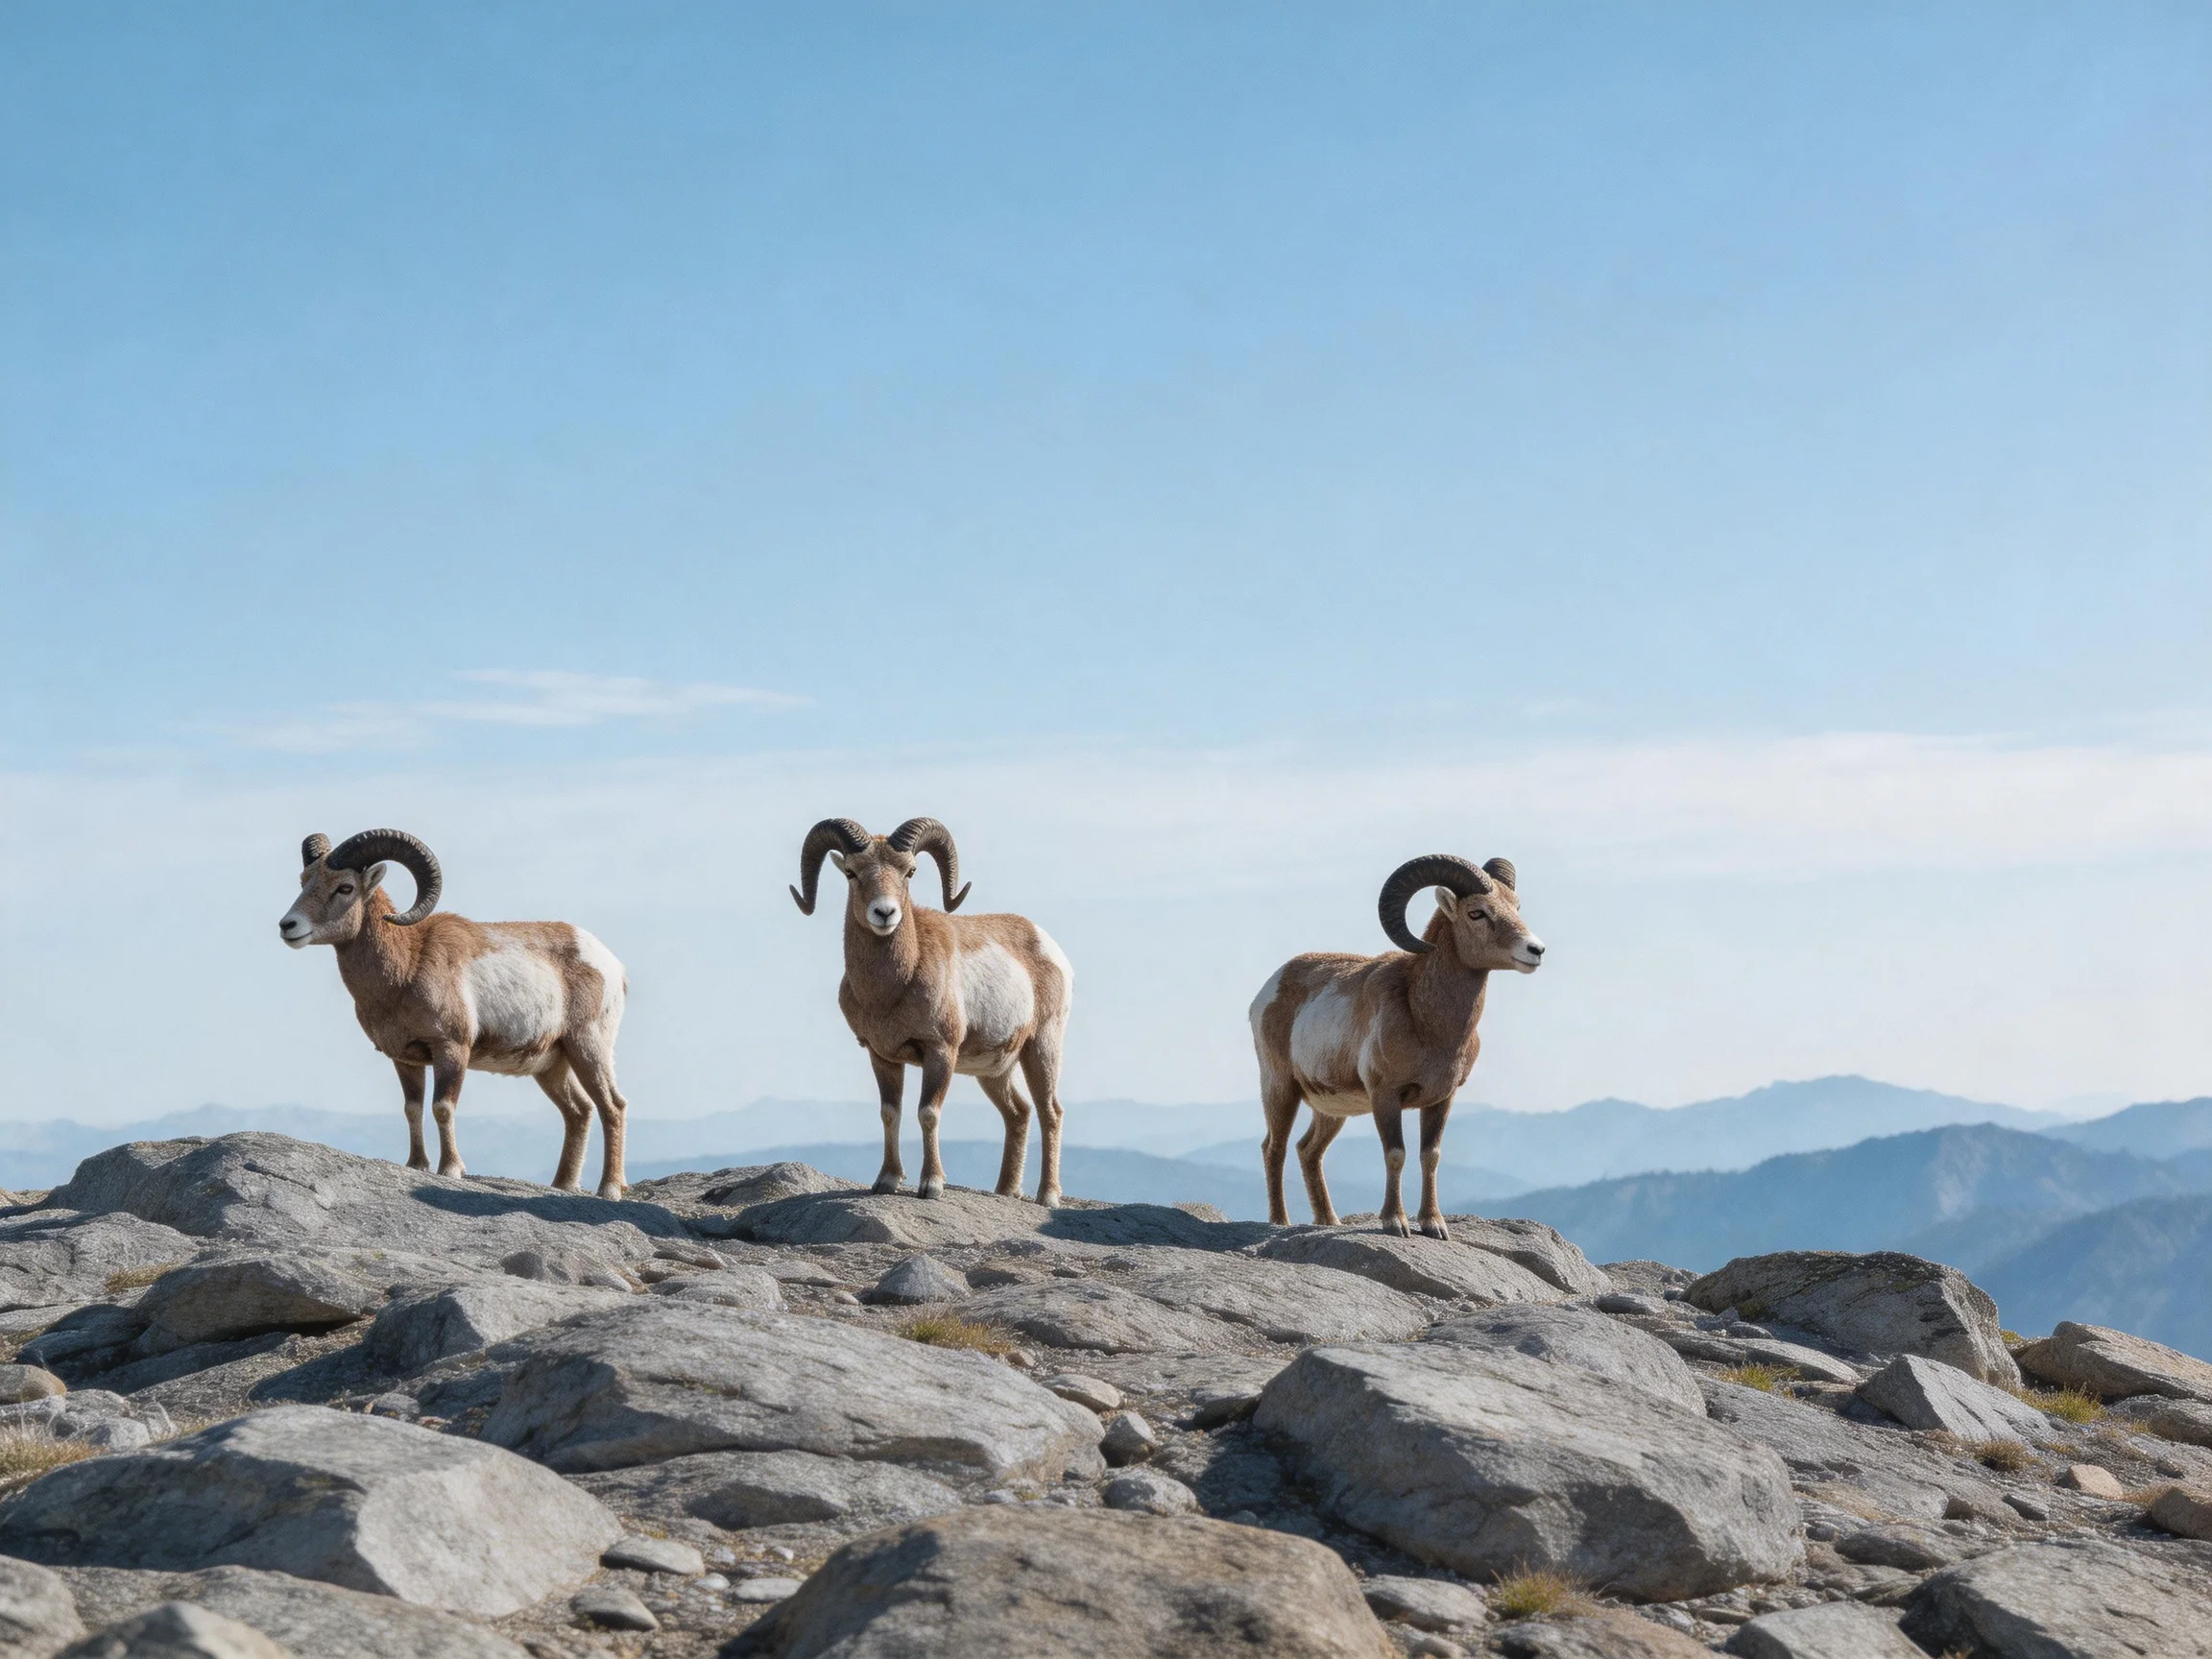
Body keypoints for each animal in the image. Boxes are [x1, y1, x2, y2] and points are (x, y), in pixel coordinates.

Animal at [277, 829, 633, 1198]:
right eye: (304, 880)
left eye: (345, 888)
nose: (288, 926)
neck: (406, 965)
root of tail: (612, 966)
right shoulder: (405, 1059)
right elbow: (413, 1108)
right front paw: (416, 1165)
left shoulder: (451, 1049)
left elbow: (442, 1108)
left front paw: (450, 1169)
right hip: (552, 1066)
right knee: (579, 1111)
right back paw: (562, 1185)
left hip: (587, 1047)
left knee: (612, 1107)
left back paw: (609, 1189)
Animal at [791, 817, 1074, 1206]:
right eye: (851, 872)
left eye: (909, 871)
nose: (884, 913)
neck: (892, 989)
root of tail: (1049, 946)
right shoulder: (882, 1057)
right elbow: (890, 1113)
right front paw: (887, 1180)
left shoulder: (941, 1052)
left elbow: (928, 1113)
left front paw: (931, 1186)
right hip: (995, 1071)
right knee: (1019, 1113)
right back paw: (1004, 1191)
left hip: (1042, 1048)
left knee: (1050, 1112)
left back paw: (1047, 1197)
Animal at [1249, 853, 1544, 1240]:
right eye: (1477, 913)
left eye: (1516, 906)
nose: (1535, 950)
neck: (1428, 1022)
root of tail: (1269, 989)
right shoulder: (1385, 1096)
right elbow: (1396, 1154)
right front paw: (1395, 1223)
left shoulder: (1441, 1099)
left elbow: (1430, 1155)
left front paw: (1434, 1225)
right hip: (1280, 1088)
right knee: (1275, 1148)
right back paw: (1280, 1222)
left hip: (1331, 1110)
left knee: (1308, 1150)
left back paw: (1329, 1221)